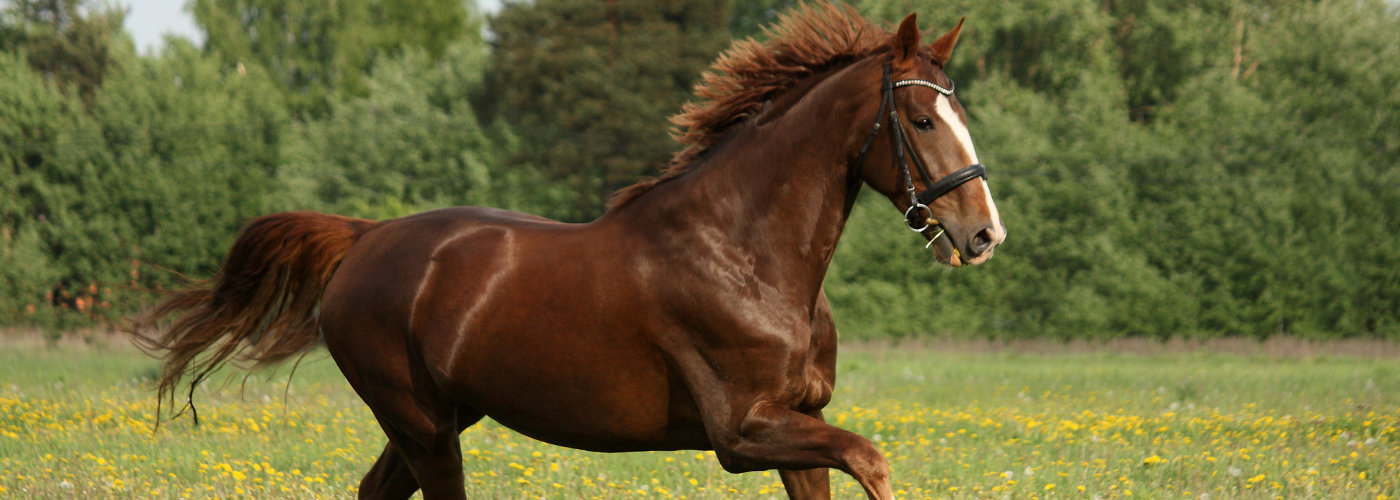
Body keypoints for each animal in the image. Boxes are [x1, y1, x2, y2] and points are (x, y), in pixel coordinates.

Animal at [131, 5, 1005, 499]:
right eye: (921, 121)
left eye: (961, 112)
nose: (984, 233)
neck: (746, 257)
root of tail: (366, 237)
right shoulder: (742, 433)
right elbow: (873, 459)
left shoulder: (799, 425)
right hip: (424, 427)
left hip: (434, 420)